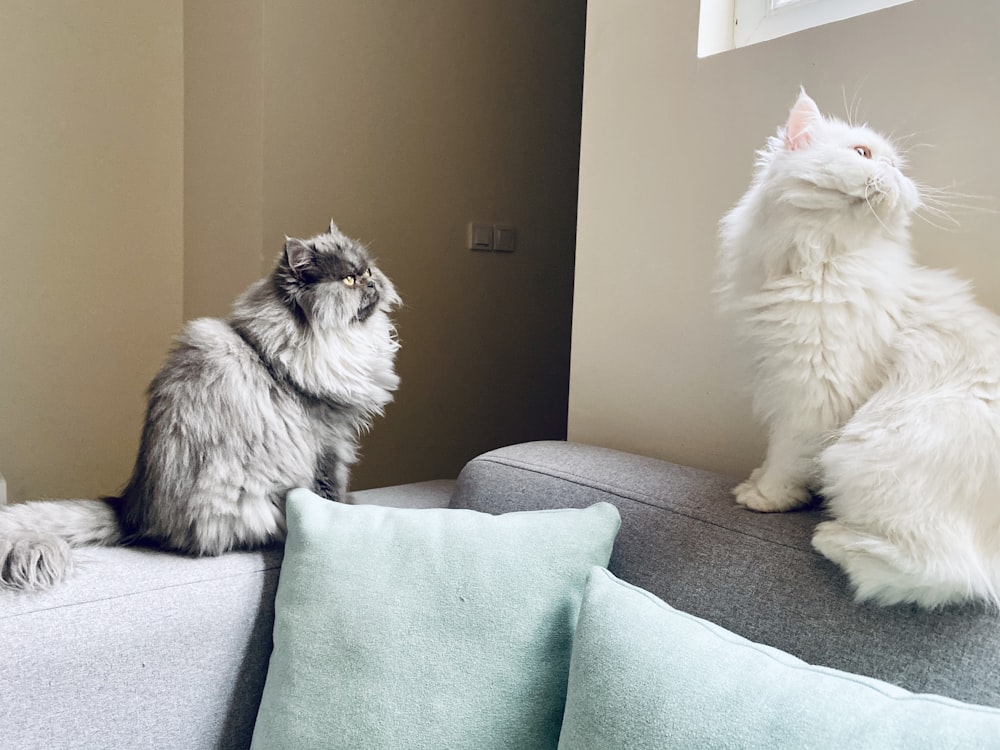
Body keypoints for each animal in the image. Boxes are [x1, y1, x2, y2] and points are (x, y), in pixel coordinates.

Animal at [0, 222, 398, 592]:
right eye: (348, 279)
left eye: (367, 270)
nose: (371, 282)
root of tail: (131, 509)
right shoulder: (329, 442)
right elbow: (332, 492)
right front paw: (345, 513)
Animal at [716, 91, 1000, 612]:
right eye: (864, 153)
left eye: (893, 163)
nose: (893, 169)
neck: (821, 259)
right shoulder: (788, 382)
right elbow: (775, 451)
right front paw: (756, 480)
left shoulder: (813, 393)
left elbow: (787, 455)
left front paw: (766, 496)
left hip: (867, 452)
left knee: (951, 576)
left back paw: (834, 537)